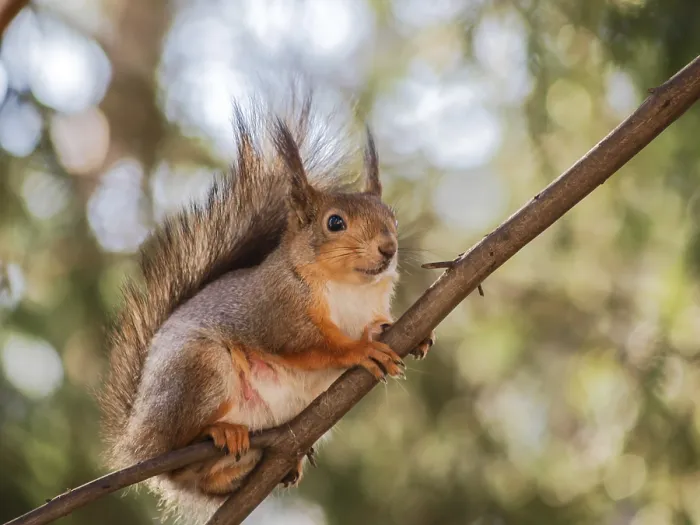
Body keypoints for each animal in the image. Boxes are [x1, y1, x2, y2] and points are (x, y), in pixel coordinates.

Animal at [99, 95, 435, 522]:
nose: (389, 249)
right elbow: (309, 345)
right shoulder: (276, 311)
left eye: (392, 218)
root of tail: (137, 442)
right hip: (197, 369)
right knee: (176, 449)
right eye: (335, 223)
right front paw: (359, 349)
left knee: (203, 481)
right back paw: (217, 432)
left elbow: (375, 323)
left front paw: (399, 332)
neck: (350, 289)